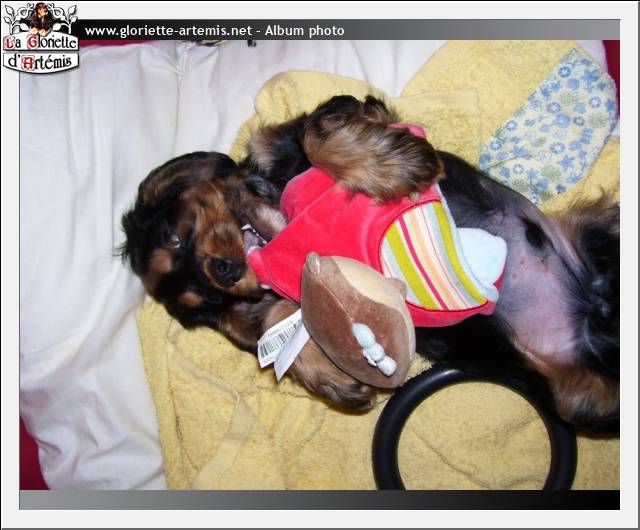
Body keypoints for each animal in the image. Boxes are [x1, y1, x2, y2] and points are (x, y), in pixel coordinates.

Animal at [120, 96, 619, 432]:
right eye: (205, 299)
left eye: (174, 236)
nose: (222, 272)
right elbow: (278, 317)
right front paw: (329, 377)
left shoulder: (337, 116)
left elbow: (315, 133)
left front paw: (399, 166)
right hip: (585, 400)